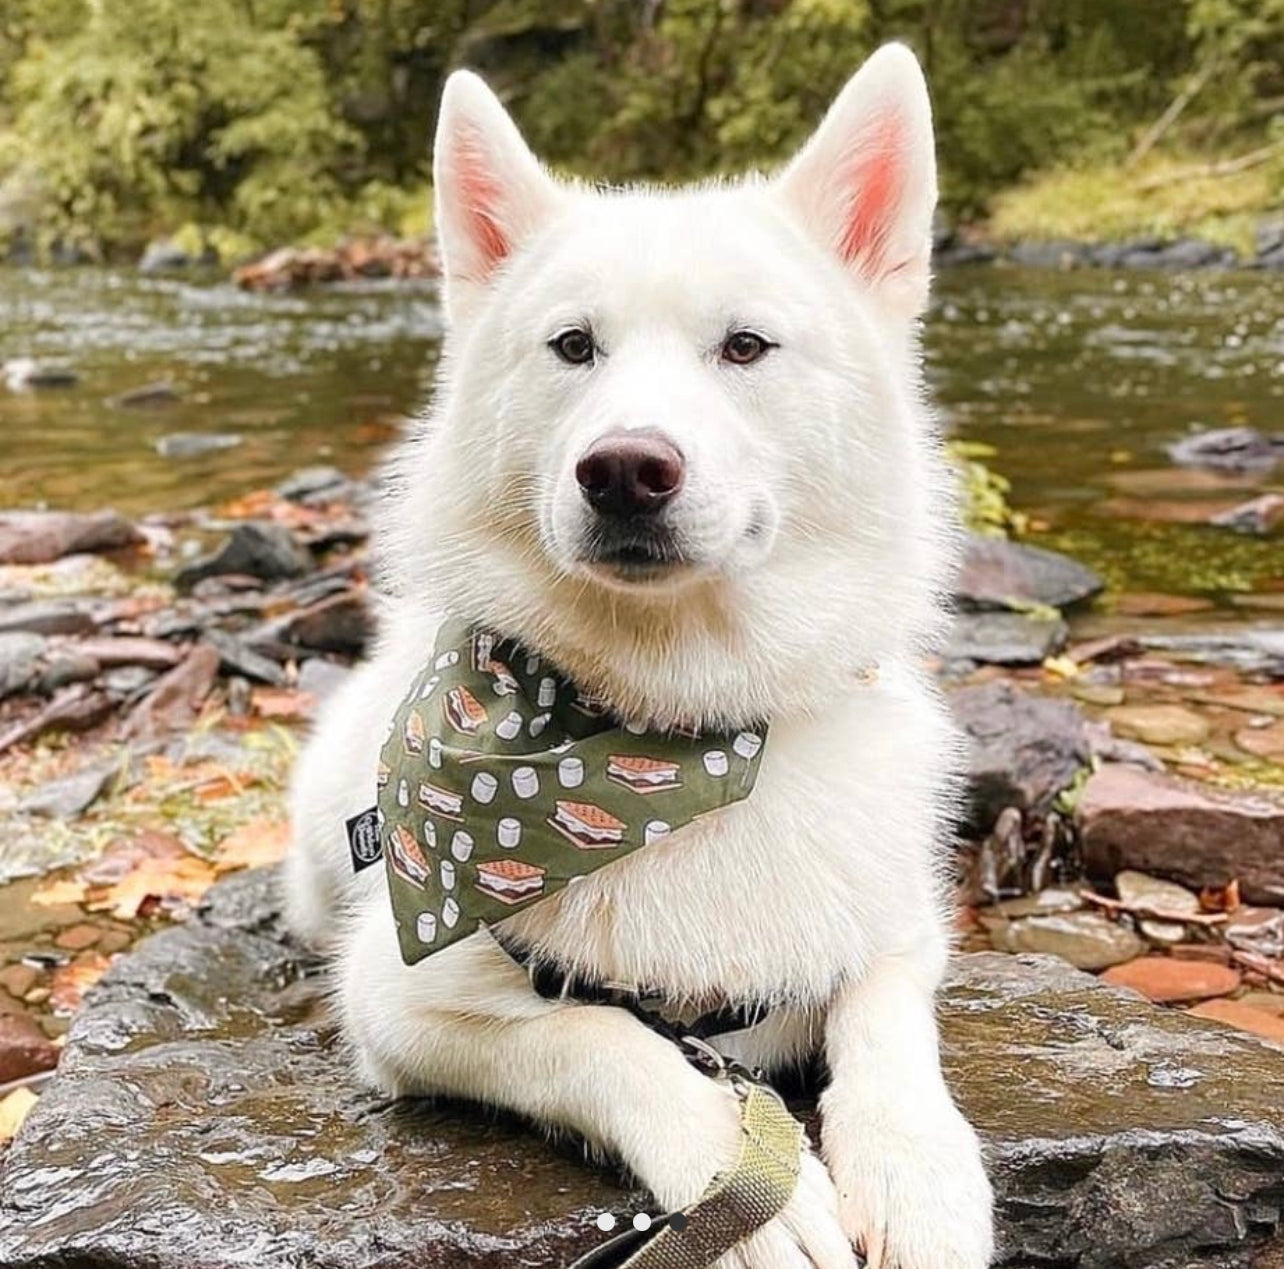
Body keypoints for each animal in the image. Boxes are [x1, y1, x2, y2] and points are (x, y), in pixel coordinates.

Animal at [288, 44, 991, 1263]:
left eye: (746, 345)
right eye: (574, 346)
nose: (624, 469)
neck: (677, 732)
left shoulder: (899, 922)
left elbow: (886, 1017)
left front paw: (919, 1168)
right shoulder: (401, 1003)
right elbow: (602, 1043)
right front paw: (747, 1193)